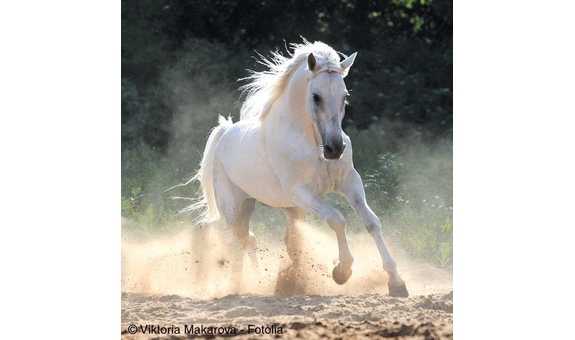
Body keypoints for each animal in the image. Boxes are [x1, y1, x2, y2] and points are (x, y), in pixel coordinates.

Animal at [189, 38, 410, 296]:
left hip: (292, 210)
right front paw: (341, 272)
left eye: (345, 96)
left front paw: (396, 282)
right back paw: (258, 282)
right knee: (249, 240)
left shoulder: (349, 182)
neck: (314, 143)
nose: (335, 149)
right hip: (236, 213)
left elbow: (372, 222)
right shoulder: (302, 193)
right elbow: (337, 219)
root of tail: (224, 134)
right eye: (316, 96)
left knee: (287, 242)